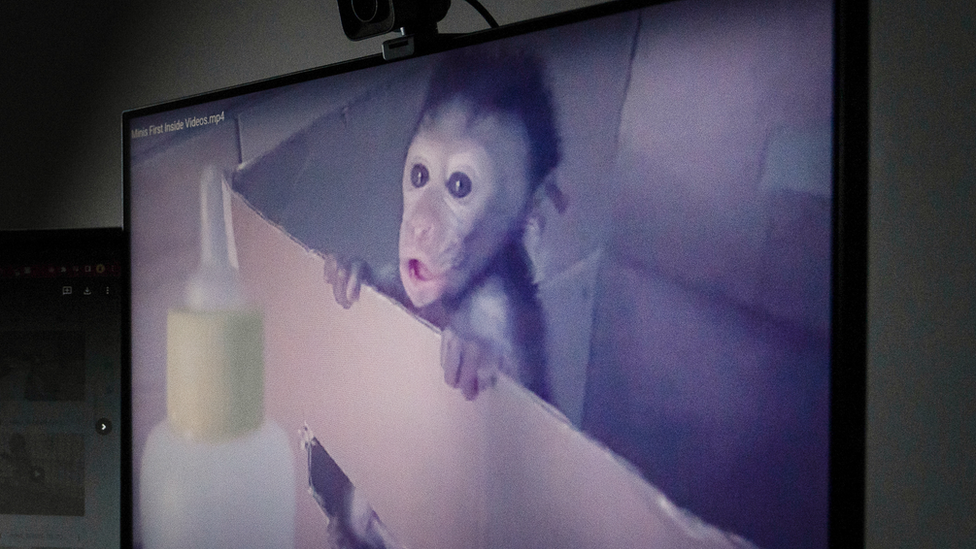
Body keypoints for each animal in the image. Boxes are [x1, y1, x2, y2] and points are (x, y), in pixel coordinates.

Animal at [326, 48, 562, 403]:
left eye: (459, 186)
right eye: (419, 176)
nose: (419, 224)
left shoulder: (496, 303)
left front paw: (475, 350)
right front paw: (352, 269)